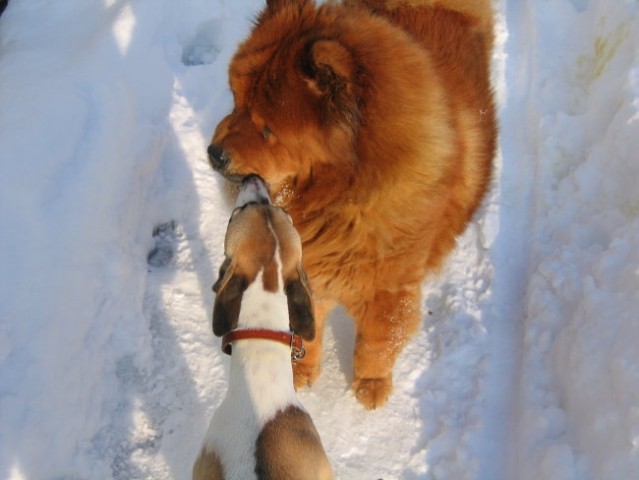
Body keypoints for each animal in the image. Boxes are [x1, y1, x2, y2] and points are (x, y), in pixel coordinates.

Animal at [208, 0, 498, 408]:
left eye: (267, 130)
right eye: (235, 102)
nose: (213, 152)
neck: (341, 199)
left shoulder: (388, 293)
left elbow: (375, 344)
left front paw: (371, 384)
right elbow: (304, 329)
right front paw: (299, 370)